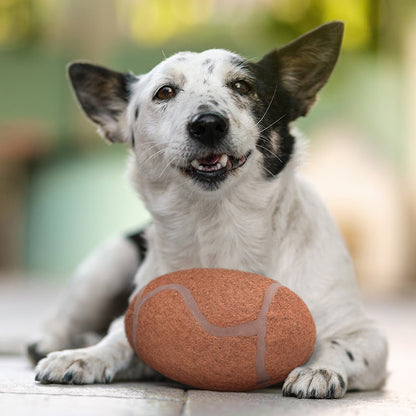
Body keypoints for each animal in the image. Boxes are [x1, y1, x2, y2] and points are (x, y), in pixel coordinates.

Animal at [28, 21, 386, 398]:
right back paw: (54, 341)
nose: (208, 123)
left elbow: (337, 345)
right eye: (165, 92)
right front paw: (85, 356)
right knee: (61, 320)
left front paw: (319, 369)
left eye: (242, 86)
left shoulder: (368, 334)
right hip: (108, 264)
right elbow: (118, 339)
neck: (220, 226)